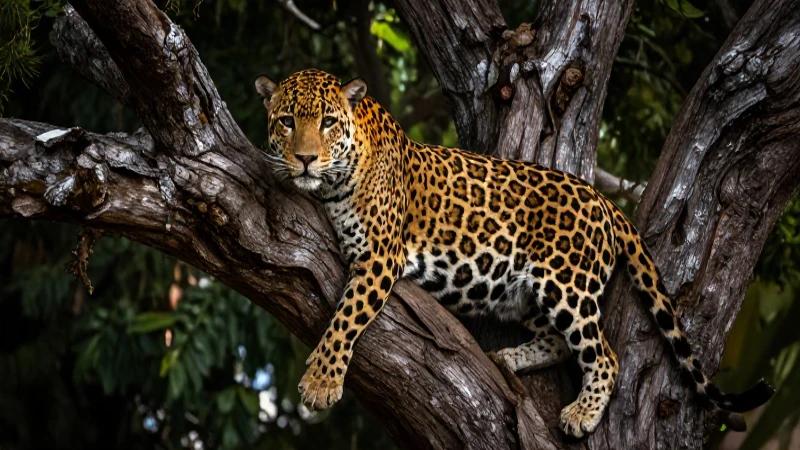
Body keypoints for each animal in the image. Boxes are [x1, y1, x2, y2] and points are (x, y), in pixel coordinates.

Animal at [254, 69, 773, 438]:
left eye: (327, 122)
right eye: (287, 122)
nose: (305, 159)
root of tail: (603, 200)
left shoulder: (380, 256)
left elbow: (346, 317)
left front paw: (321, 382)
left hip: (566, 284)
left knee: (603, 354)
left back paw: (582, 413)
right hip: (523, 292)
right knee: (559, 343)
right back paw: (509, 359)